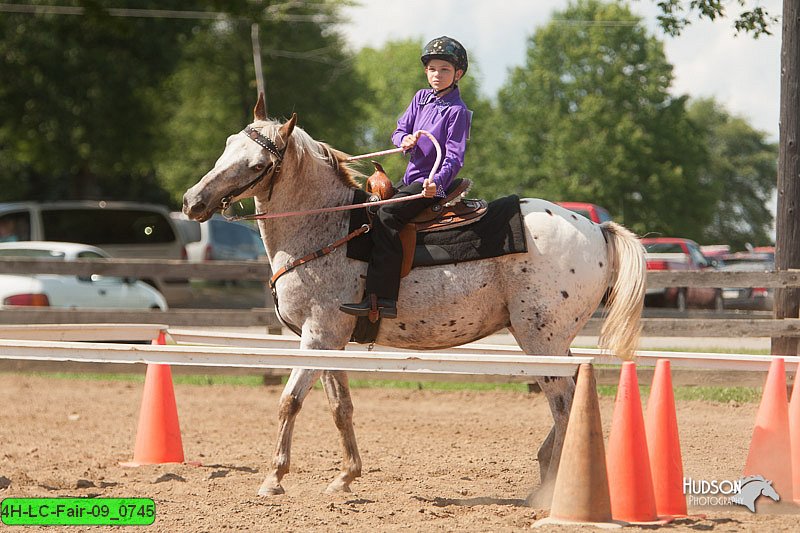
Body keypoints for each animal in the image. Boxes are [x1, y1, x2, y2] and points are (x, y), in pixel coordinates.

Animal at [181, 93, 644, 496]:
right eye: (228, 144)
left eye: (257, 163)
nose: (192, 201)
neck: (327, 228)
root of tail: (596, 229)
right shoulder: (330, 340)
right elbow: (340, 406)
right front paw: (345, 477)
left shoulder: (317, 336)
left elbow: (289, 401)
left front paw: (274, 479)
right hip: (553, 342)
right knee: (575, 395)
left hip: (540, 340)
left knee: (563, 403)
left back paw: (551, 492)